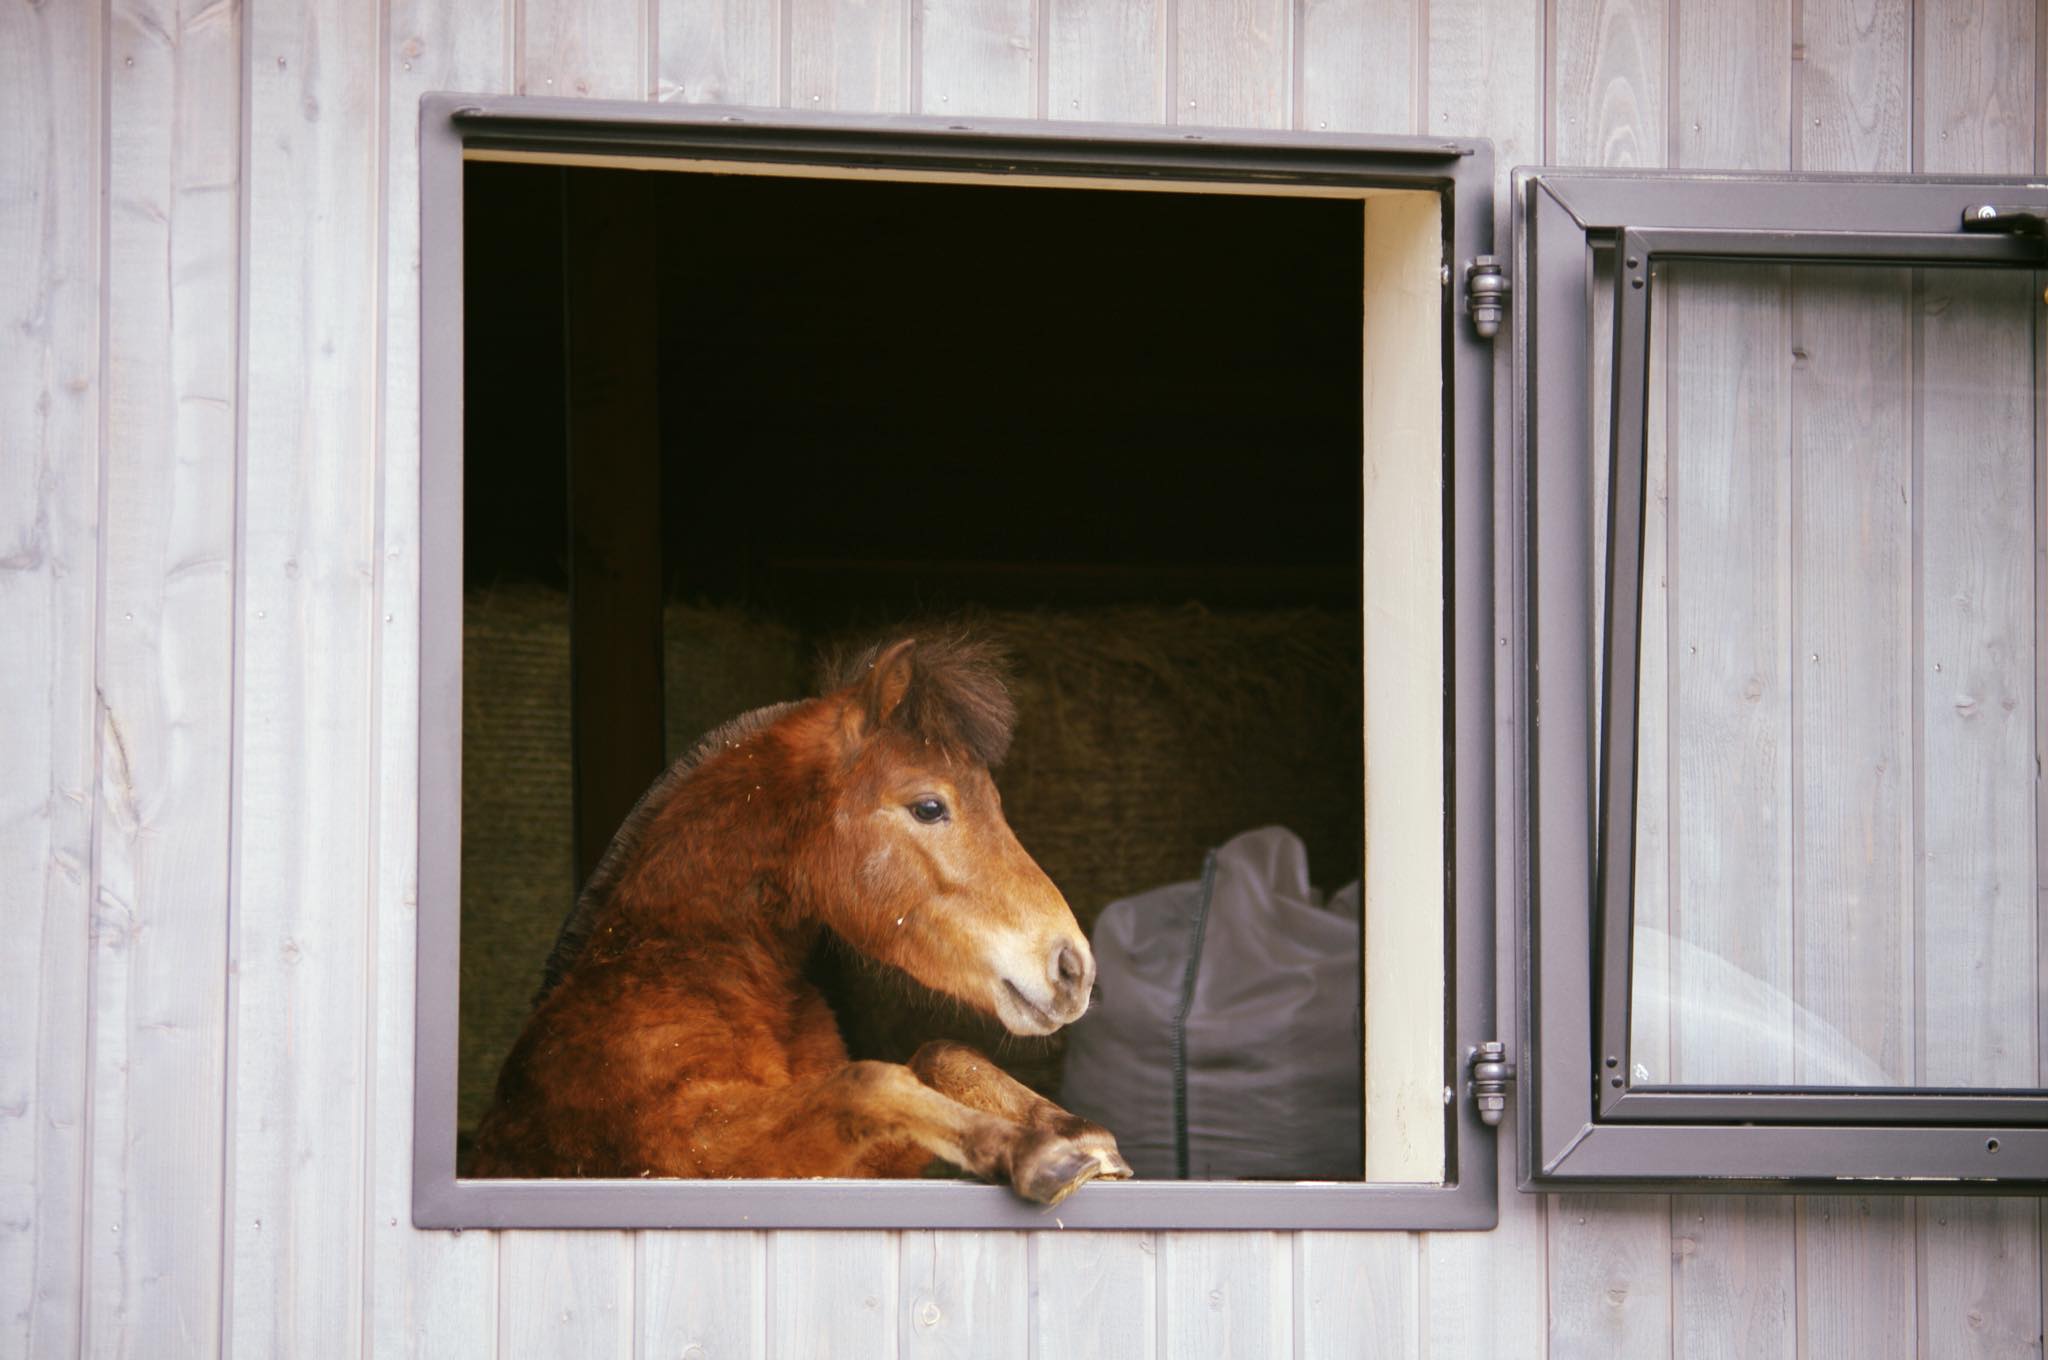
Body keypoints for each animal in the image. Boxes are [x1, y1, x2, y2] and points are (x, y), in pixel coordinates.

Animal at [468, 633, 1134, 1204]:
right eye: (928, 806)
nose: (1073, 968)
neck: (682, 966)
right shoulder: (698, 1149)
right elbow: (872, 1081)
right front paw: (1036, 1152)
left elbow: (937, 1057)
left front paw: (1081, 1135)